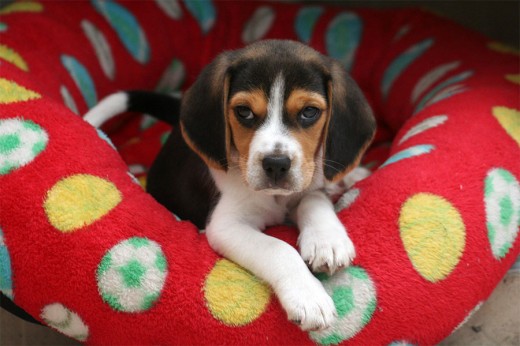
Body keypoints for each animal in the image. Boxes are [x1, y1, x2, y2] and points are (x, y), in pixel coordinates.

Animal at [87, 39, 376, 332]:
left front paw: (326, 240)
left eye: (309, 112)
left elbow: (313, 199)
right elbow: (278, 248)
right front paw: (308, 295)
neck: (275, 197)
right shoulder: (226, 226)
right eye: (244, 112)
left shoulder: (308, 183)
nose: (276, 164)